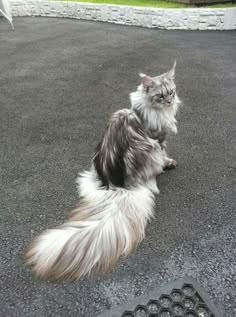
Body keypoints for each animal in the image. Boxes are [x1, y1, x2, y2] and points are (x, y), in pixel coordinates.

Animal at [25, 61, 180, 278]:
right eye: (160, 95)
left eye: (171, 92)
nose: (169, 101)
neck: (146, 110)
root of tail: (117, 185)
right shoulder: (159, 139)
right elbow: (165, 154)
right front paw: (169, 163)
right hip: (150, 153)